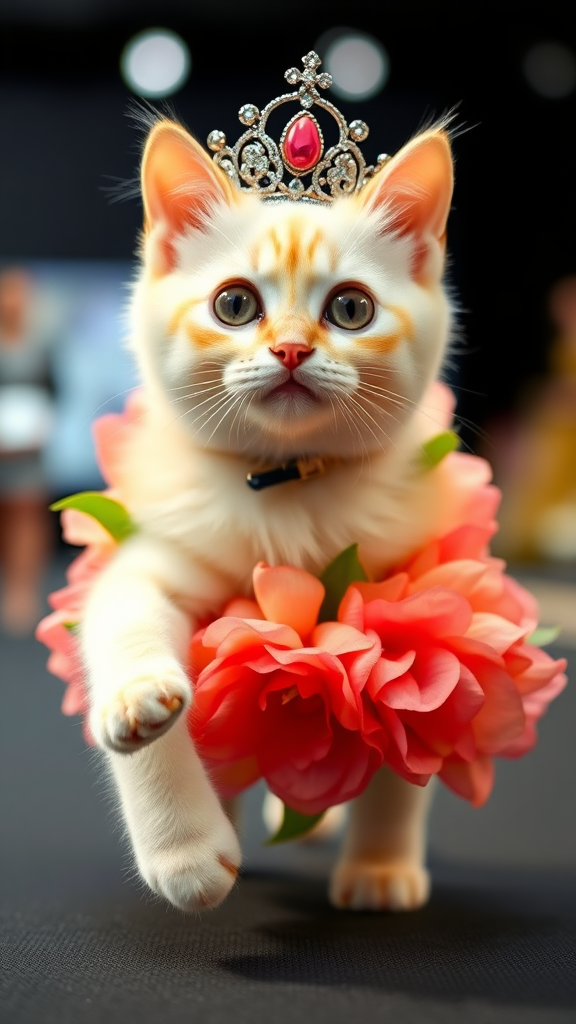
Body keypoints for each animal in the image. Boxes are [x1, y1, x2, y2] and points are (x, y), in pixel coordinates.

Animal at [81, 110, 457, 913]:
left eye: (351, 308)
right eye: (234, 304)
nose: (289, 349)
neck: (288, 491)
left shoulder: (409, 591)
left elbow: (401, 741)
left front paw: (380, 867)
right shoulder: (154, 558)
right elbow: (123, 626)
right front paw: (184, 845)